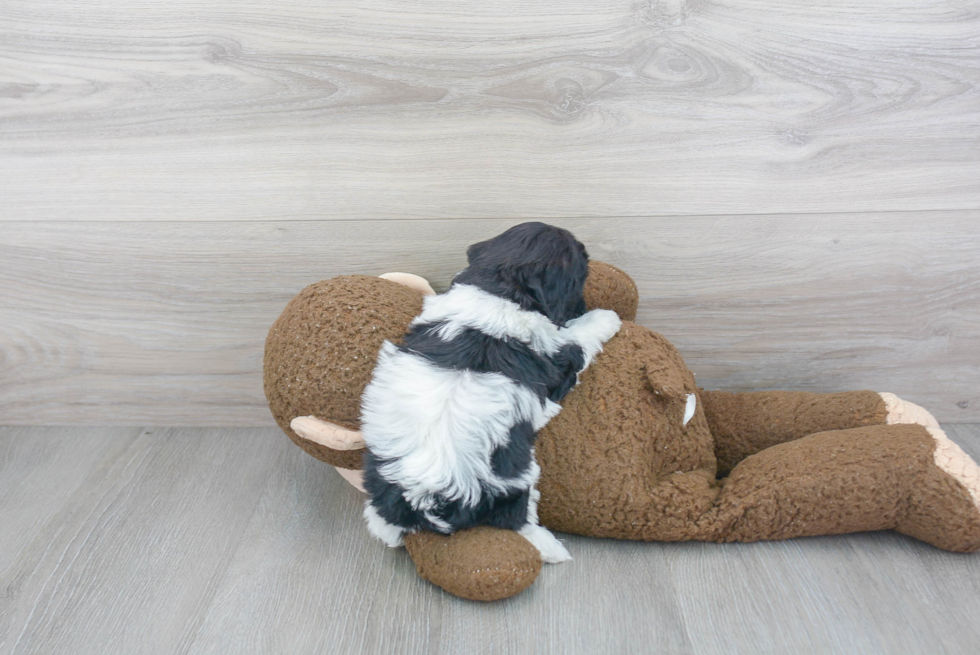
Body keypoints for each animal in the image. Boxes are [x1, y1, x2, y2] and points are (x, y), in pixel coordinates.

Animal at [358, 222, 620, 564]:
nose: (583, 306)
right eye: (581, 275)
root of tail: (430, 495)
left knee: (382, 518)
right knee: (517, 519)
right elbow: (579, 338)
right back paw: (550, 547)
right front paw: (605, 318)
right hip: (514, 481)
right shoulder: (559, 358)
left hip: (379, 473)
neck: (502, 291)